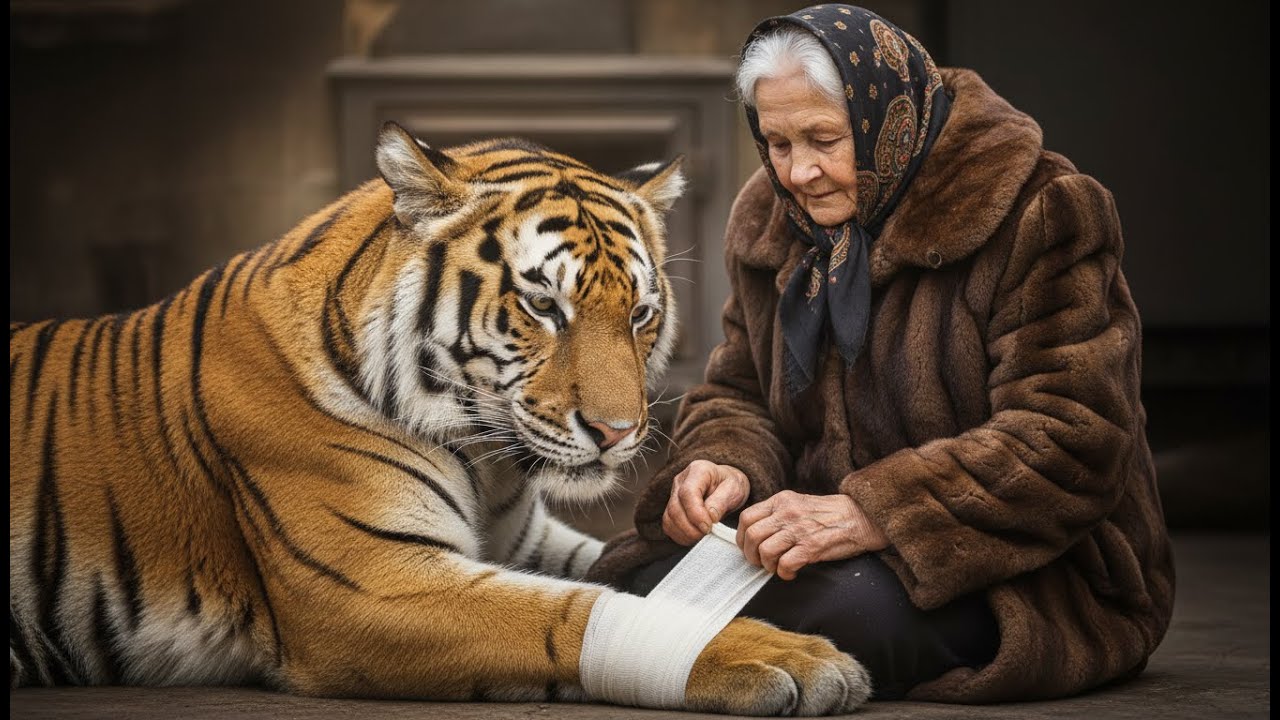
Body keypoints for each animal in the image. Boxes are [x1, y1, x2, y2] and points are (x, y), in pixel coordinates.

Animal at [9, 121, 867, 715]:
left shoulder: (527, 541)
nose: (619, 434)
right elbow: (570, 612)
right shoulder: (369, 582)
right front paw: (788, 657)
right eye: (544, 307)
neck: (486, 462)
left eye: (640, 315)